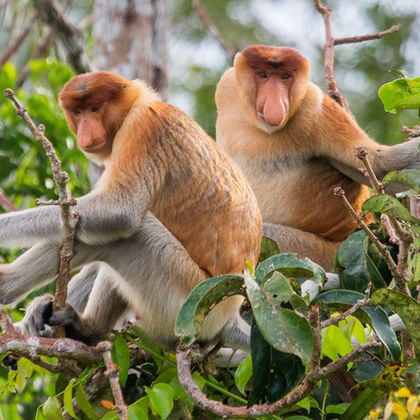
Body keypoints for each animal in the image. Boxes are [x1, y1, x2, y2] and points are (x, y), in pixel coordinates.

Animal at [0, 70, 260, 350]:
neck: (135, 106)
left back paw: (86, 328)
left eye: (95, 108)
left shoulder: (144, 126)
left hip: (187, 302)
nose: (85, 133)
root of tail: (230, 315)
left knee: (129, 235)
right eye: (77, 112)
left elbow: (120, 211)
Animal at [217, 45, 420, 270]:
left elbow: (380, 166)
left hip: (320, 253)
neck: (260, 126)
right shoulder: (227, 86)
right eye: (263, 75)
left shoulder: (315, 106)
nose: (275, 104)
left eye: (285, 76)